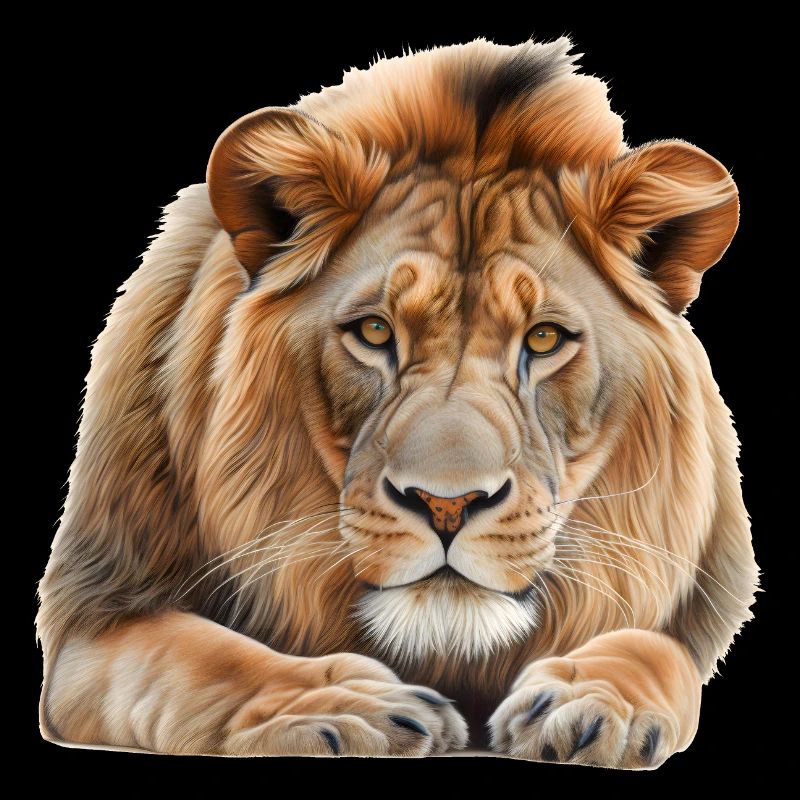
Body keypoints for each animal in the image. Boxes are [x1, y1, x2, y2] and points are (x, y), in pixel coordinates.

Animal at [36, 37, 757, 767]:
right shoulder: (96, 615)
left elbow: (655, 647)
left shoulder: (689, 610)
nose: (446, 505)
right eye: (376, 332)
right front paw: (345, 704)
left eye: (545, 338)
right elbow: (213, 659)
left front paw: (592, 702)